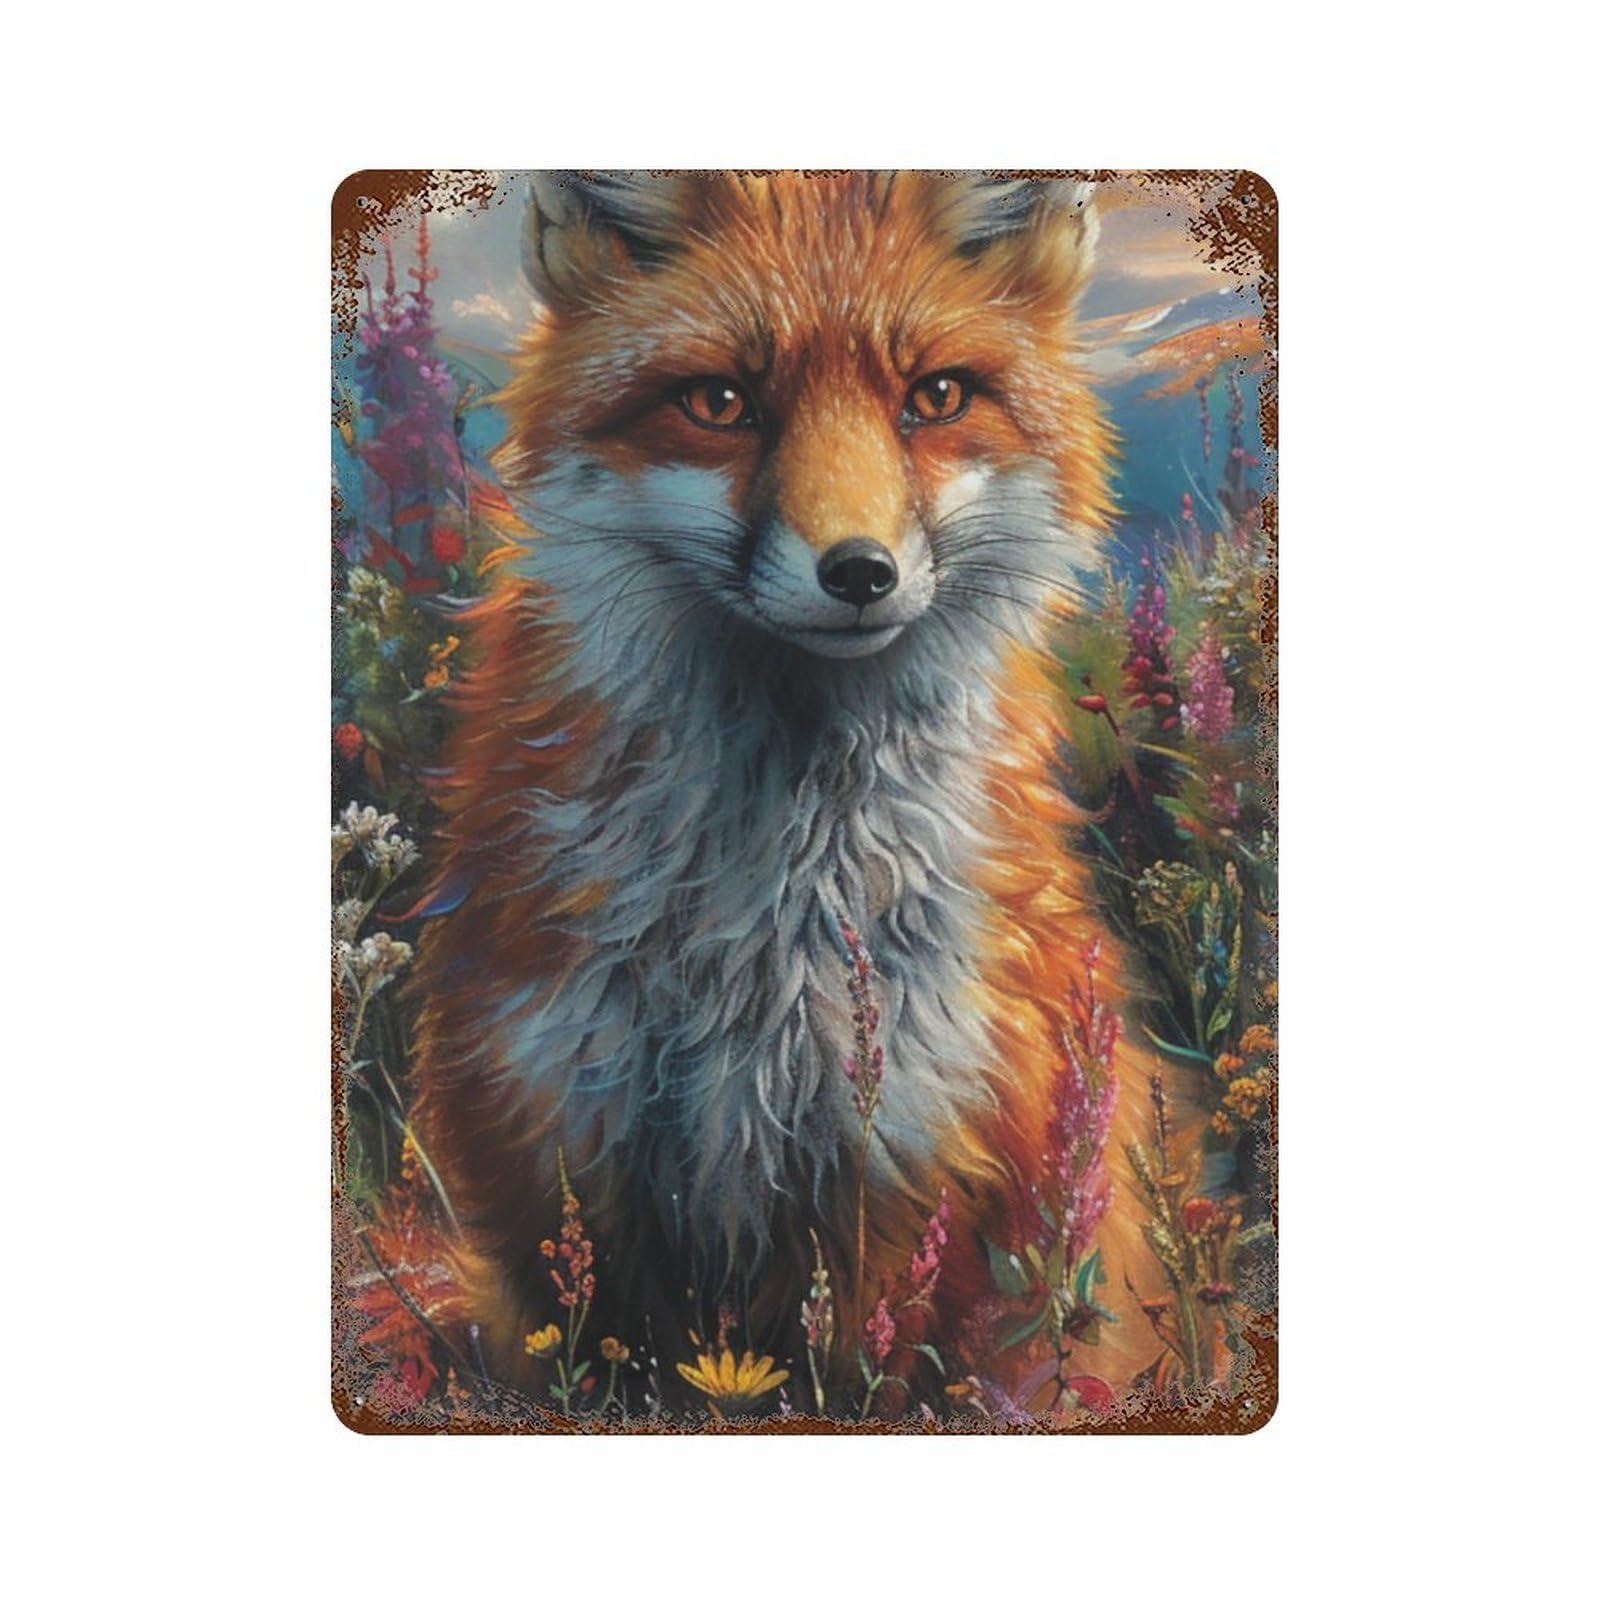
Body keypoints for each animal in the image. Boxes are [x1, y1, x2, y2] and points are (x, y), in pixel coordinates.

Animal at [410, 171, 1187, 1405]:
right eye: (721, 401)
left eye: (935, 395)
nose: (859, 572)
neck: (765, 952)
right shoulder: (560, 1168)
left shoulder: (910, 1178)